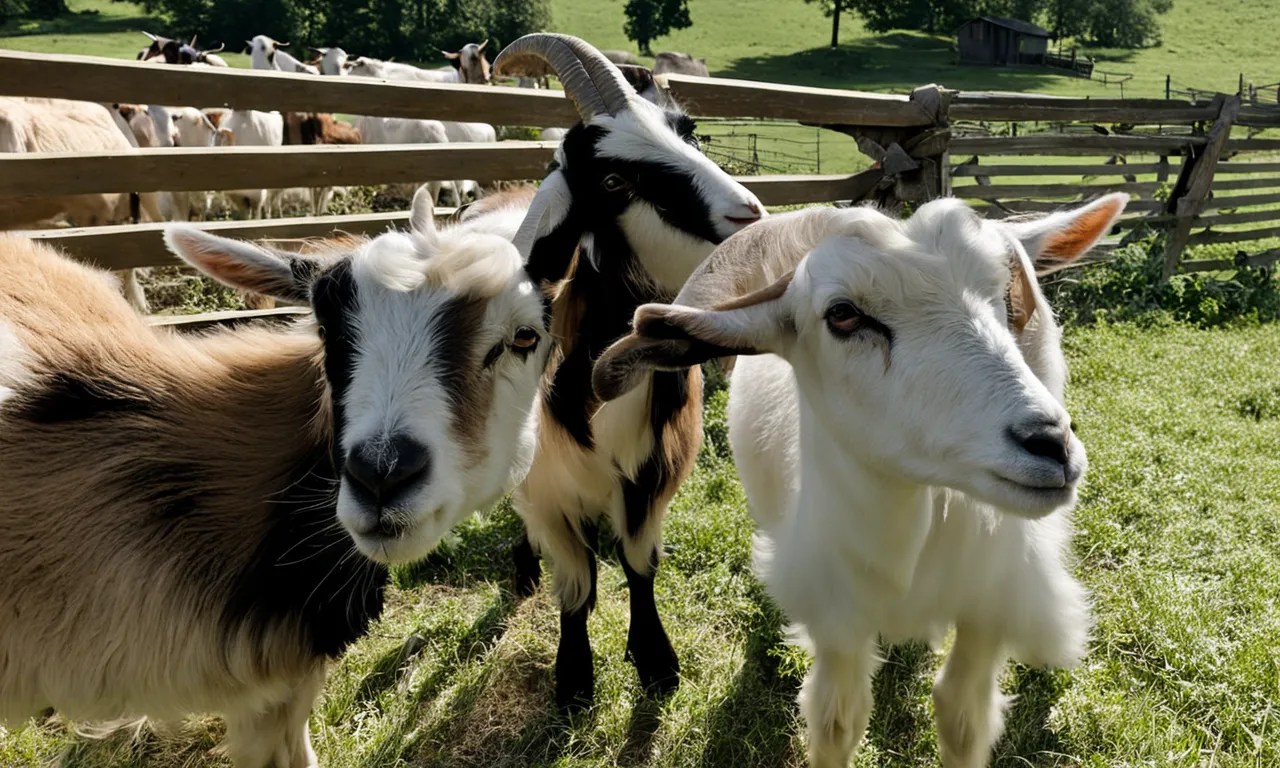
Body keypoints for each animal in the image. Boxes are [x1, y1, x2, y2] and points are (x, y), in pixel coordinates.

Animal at [484, 33, 765, 710]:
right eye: (613, 180)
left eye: (688, 132)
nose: (752, 218)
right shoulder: (547, 489)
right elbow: (576, 581)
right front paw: (573, 679)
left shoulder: (653, 466)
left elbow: (639, 565)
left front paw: (656, 661)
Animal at [592, 194, 1129, 768]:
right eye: (843, 315)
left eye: (1005, 296)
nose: (1050, 443)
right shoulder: (837, 619)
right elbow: (838, 720)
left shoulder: (990, 601)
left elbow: (962, 716)